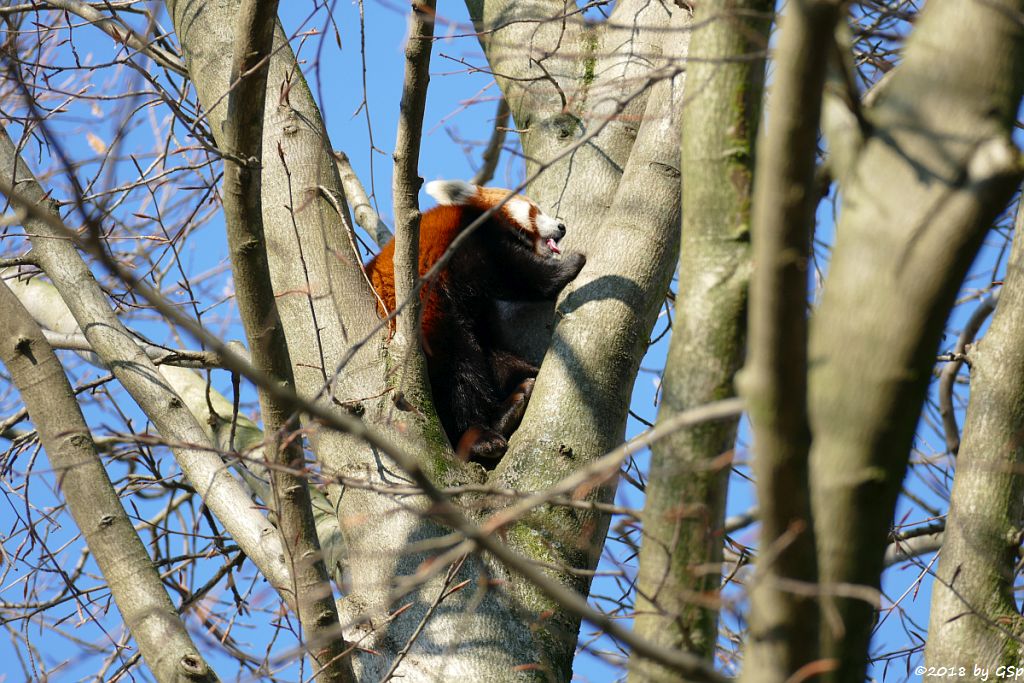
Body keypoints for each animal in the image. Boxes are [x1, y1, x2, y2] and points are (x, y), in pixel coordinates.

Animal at [368, 179, 585, 462]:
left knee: (493, 357)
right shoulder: (466, 244)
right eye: (534, 210)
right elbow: (516, 274)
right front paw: (569, 266)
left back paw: (523, 383)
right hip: (431, 326)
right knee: (461, 373)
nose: (562, 227)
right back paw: (484, 433)